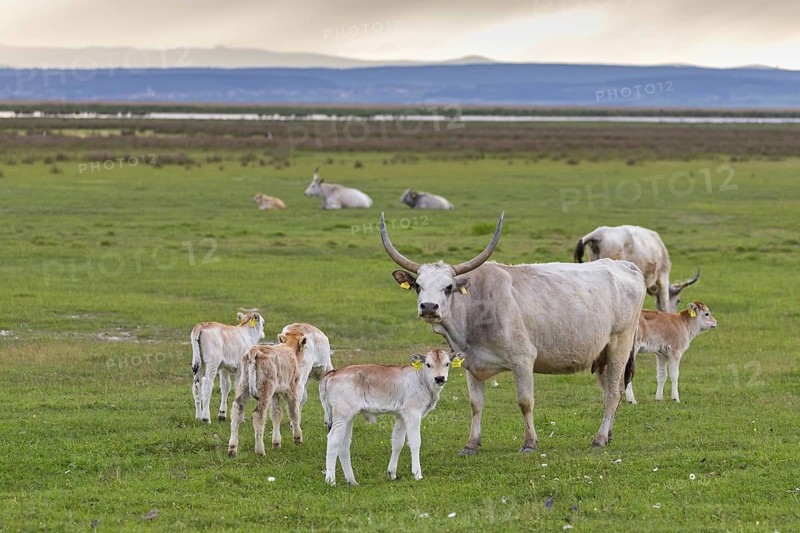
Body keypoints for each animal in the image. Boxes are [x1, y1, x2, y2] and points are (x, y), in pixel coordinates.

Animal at [319, 349, 456, 485]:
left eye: (447, 364)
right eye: (428, 364)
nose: (439, 378)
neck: (422, 380)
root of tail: (334, 372)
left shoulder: (401, 416)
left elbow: (397, 442)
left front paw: (392, 473)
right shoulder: (413, 413)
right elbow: (415, 442)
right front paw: (417, 474)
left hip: (348, 417)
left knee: (344, 444)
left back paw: (352, 481)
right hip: (342, 414)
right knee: (333, 440)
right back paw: (330, 480)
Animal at [380, 212, 645, 452]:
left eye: (448, 287)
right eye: (418, 286)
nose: (428, 307)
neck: (478, 305)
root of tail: (625, 265)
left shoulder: (523, 359)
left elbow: (525, 401)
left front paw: (529, 443)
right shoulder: (471, 365)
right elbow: (475, 405)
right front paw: (471, 444)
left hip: (619, 345)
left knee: (613, 393)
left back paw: (599, 439)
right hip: (602, 356)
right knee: (611, 390)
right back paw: (607, 435)